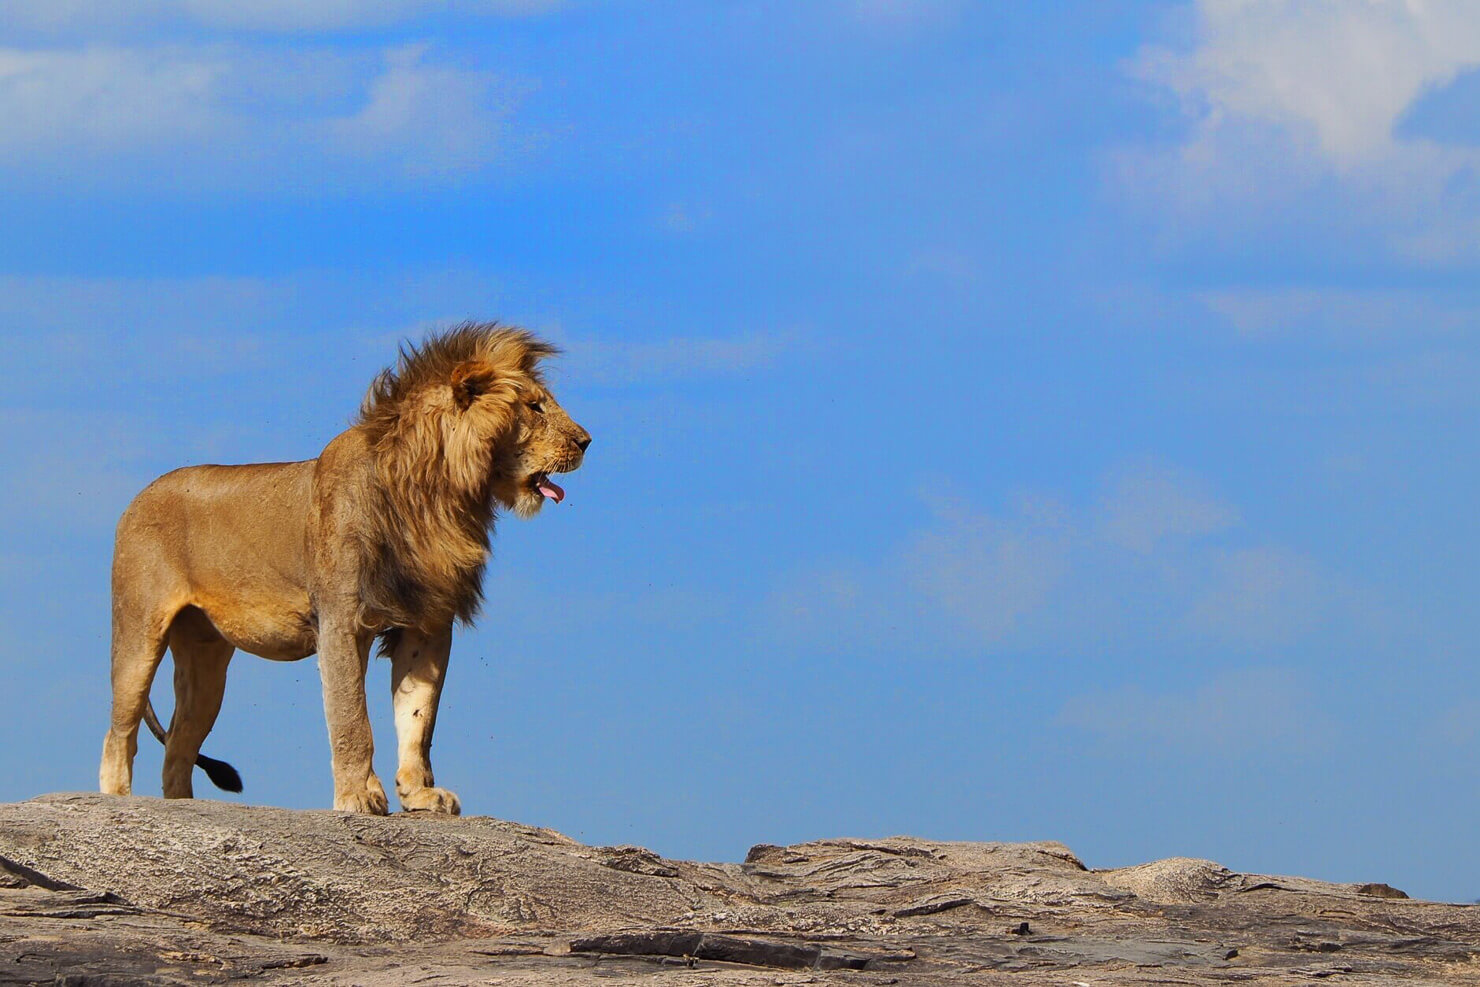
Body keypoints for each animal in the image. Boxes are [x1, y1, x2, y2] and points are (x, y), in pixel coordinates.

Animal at [98, 328, 589, 816]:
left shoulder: (427, 624)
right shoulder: (339, 620)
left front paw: (419, 794)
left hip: (206, 658)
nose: (587, 441)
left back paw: (185, 807)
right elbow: (352, 718)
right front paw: (357, 795)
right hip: (140, 631)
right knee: (120, 731)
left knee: (179, 743)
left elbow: (418, 718)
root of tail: (136, 498)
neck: (437, 496)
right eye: (535, 406)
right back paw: (118, 799)